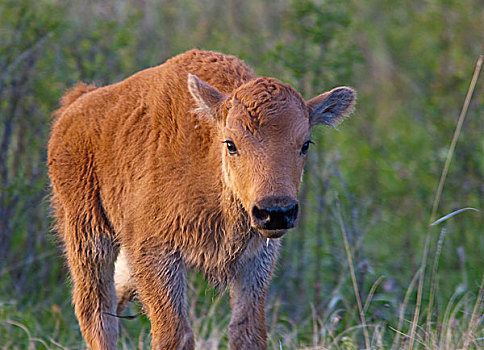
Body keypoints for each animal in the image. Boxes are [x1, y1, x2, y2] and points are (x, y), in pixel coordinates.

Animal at [47, 50, 354, 350]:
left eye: (305, 144)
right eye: (231, 144)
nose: (275, 212)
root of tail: (74, 109)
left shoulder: (256, 258)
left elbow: (246, 332)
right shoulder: (156, 252)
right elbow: (175, 334)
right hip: (88, 239)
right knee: (97, 315)